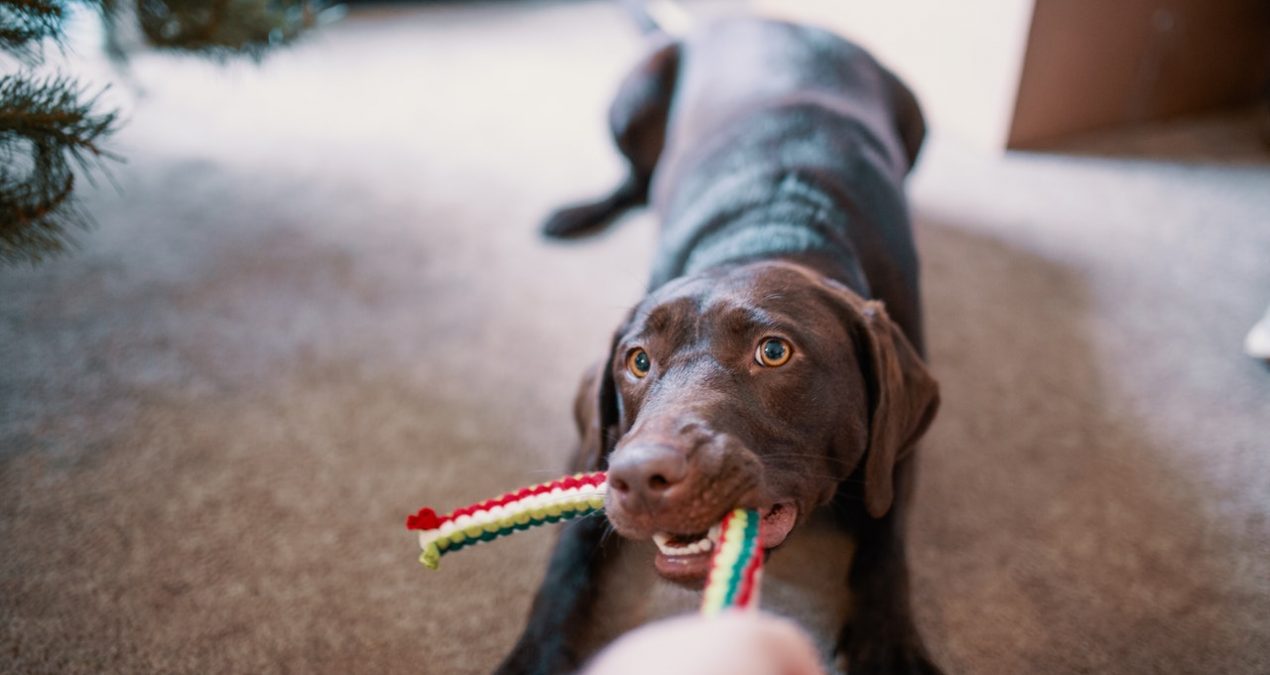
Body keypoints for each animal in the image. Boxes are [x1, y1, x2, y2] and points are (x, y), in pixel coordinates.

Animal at [500, 10, 939, 675]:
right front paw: (533, 654)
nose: (641, 476)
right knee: (636, 180)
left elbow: (885, 536)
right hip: (635, 93)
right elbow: (566, 557)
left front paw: (888, 642)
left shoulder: (898, 446)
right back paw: (578, 212)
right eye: (637, 361)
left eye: (774, 351)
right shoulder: (599, 446)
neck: (774, 230)